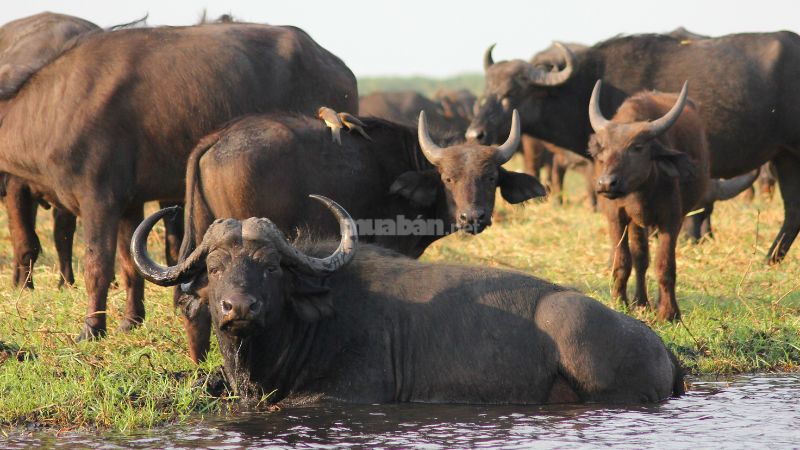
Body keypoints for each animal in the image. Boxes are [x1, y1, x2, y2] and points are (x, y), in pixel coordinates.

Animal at [468, 32, 800, 264]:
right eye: (486, 90)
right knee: (793, 212)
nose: (475, 134)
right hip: (785, 157)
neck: (590, 86)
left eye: (511, 93)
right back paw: (770, 259)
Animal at [588, 81, 708, 320]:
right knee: (640, 259)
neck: (641, 191)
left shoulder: (671, 219)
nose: (606, 184)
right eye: (604, 148)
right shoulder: (616, 217)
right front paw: (620, 302)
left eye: (637, 147)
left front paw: (669, 313)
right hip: (636, 223)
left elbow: (665, 265)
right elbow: (623, 262)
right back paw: (641, 302)